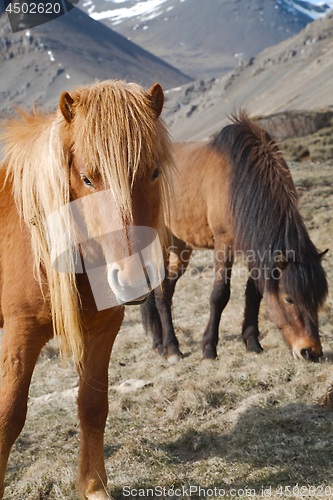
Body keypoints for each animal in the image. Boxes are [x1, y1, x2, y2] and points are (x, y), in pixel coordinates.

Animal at [0, 80, 174, 500]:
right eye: (88, 178)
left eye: (154, 172)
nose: (134, 278)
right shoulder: (20, 332)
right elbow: (9, 416)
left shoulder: (105, 327)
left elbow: (93, 405)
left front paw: (93, 486)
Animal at [141, 112, 328, 364]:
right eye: (289, 299)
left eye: (319, 298)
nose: (311, 352)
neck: (240, 180)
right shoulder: (224, 242)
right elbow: (220, 294)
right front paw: (209, 349)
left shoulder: (255, 246)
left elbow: (254, 293)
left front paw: (252, 342)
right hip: (161, 244)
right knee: (161, 293)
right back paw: (171, 348)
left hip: (181, 248)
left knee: (167, 289)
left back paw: (159, 343)